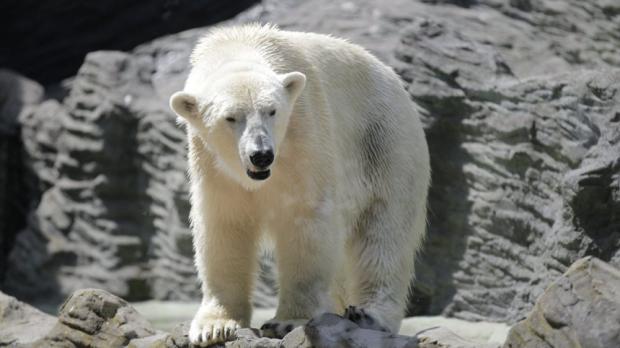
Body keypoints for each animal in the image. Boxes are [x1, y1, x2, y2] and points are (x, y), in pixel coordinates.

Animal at [170, 23, 432, 346]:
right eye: (230, 118)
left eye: (272, 111)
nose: (261, 155)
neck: (239, 43)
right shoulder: (210, 162)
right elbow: (225, 225)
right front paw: (214, 327)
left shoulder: (304, 133)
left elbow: (305, 219)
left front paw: (288, 321)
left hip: (386, 144)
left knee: (384, 233)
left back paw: (369, 315)